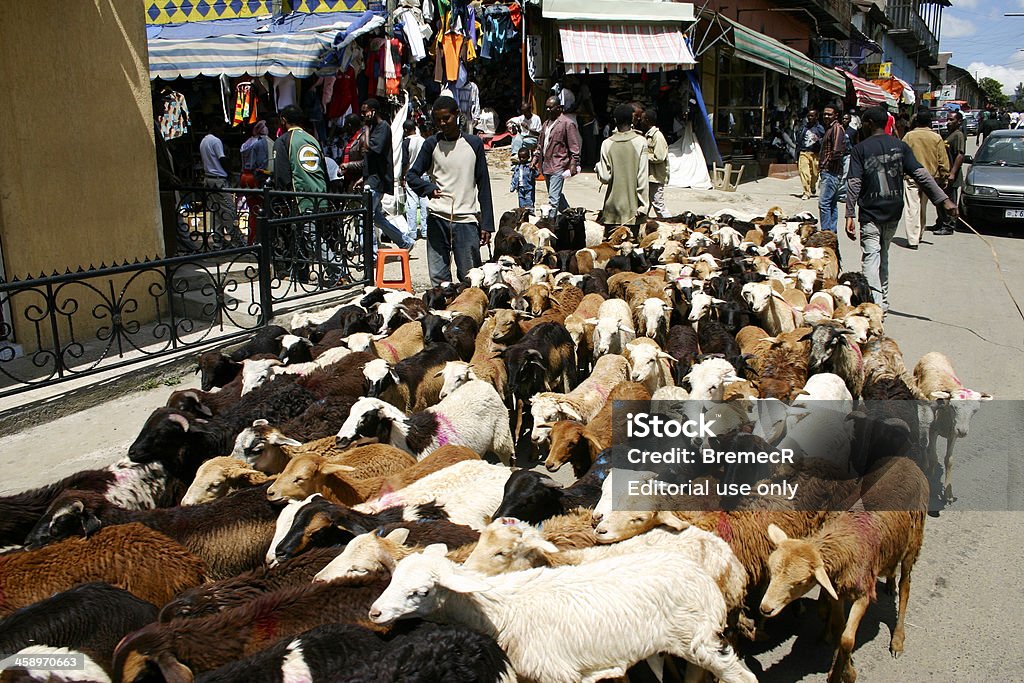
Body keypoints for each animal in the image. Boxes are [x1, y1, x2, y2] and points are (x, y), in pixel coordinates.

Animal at [372, 544, 757, 683]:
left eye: (420, 592)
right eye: (393, 577)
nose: (375, 613)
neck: (500, 611)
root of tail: (704, 578)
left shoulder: (556, 671)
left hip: (698, 637)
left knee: (741, 676)